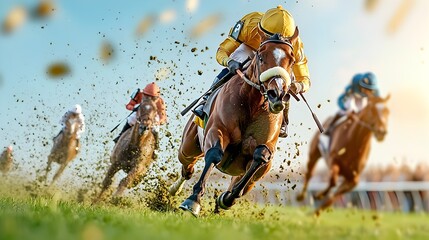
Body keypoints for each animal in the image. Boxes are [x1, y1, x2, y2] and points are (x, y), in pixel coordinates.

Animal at [169, 31, 300, 217]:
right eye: (261, 56)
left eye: (292, 61)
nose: (277, 94)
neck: (253, 103)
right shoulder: (217, 129)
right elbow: (214, 154)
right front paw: (193, 200)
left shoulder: (266, 147)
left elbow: (260, 157)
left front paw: (226, 199)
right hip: (188, 146)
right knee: (188, 168)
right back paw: (174, 189)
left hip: (260, 172)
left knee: (247, 180)